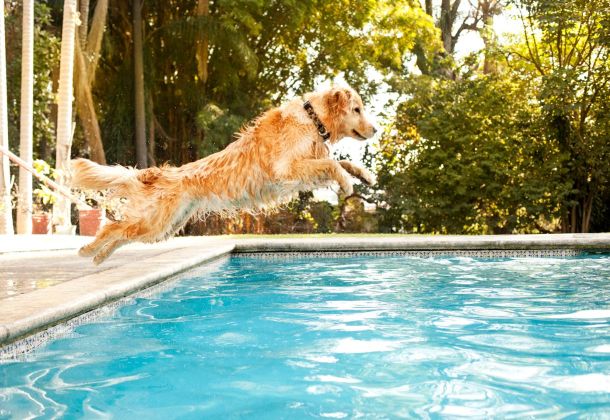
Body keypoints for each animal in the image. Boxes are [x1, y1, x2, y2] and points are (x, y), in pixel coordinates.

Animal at [71, 85, 376, 264]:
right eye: (357, 109)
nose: (375, 130)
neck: (313, 120)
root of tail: (159, 173)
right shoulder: (287, 169)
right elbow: (333, 164)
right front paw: (347, 183)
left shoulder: (305, 167)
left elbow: (339, 161)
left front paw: (365, 175)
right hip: (154, 222)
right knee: (112, 228)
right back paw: (88, 250)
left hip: (162, 227)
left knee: (122, 233)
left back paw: (99, 257)